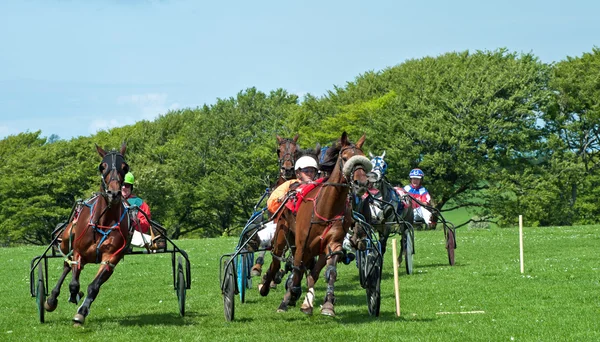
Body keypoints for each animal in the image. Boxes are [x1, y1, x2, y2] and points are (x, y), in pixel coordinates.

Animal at [45, 142, 132, 326]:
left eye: (124, 167)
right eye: (102, 166)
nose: (114, 193)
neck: (103, 221)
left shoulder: (111, 258)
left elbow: (94, 286)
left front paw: (81, 312)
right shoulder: (78, 252)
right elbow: (73, 283)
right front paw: (71, 295)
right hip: (67, 240)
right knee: (66, 265)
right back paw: (52, 299)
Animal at [258, 132, 370, 316]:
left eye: (363, 157)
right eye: (345, 158)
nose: (361, 183)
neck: (327, 208)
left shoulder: (331, 244)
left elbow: (326, 272)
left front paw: (326, 304)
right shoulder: (302, 244)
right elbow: (296, 270)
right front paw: (289, 296)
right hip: (282, 234)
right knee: (276, 260)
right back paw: (267, 285)